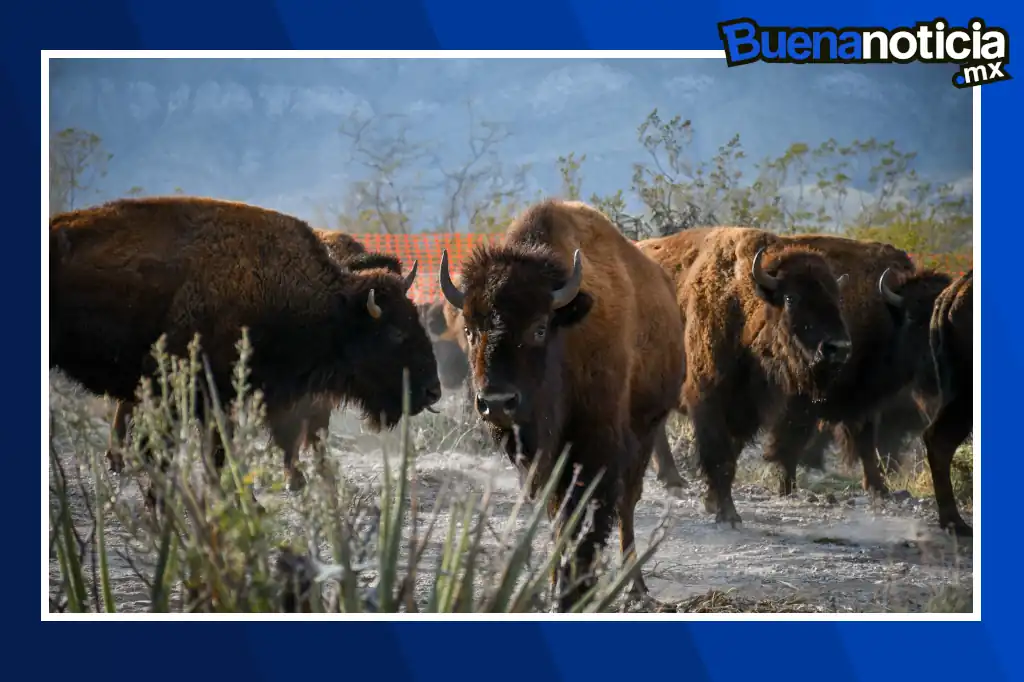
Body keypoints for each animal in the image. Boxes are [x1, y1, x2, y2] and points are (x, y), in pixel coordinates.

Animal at [438, 199, 686, 609]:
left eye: (540, 328)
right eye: (471, 331)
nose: (497, 403)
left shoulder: (596, 445)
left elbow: (585, 514)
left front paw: (573, 592)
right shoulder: (540, 458)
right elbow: (555, 513)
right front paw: (557, 587)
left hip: (648, 428)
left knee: (628, 503)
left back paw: (635, 587)